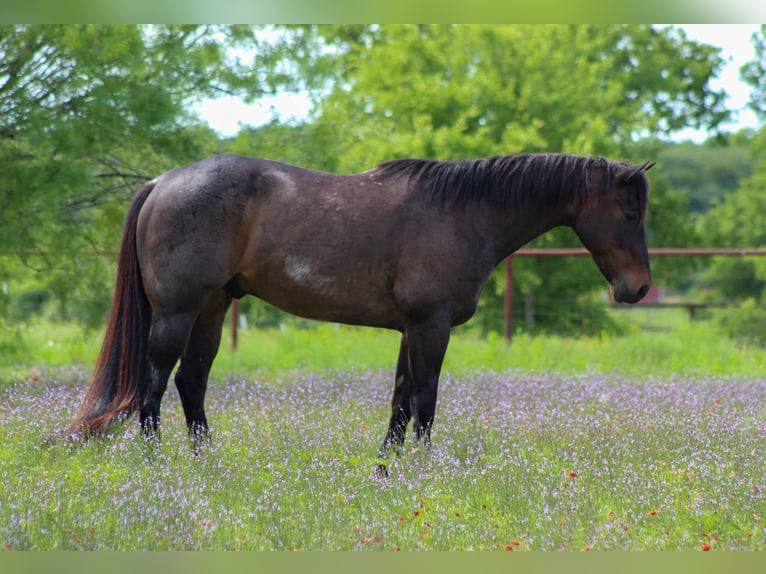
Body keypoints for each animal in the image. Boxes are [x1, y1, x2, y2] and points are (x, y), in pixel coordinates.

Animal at [68, 152, 653, 468]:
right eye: (629, 212)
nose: (640, 288)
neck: (461, 215)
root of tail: (162, 182)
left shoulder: (410, 330)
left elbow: (399, 404)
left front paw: (385, 470)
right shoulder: (431, 327)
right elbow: (424, 403)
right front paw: (422, 470)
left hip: (212, 310)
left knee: (191, 382)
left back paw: (206, 463)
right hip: (177, 313)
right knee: (153, 386)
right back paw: (160, 466)